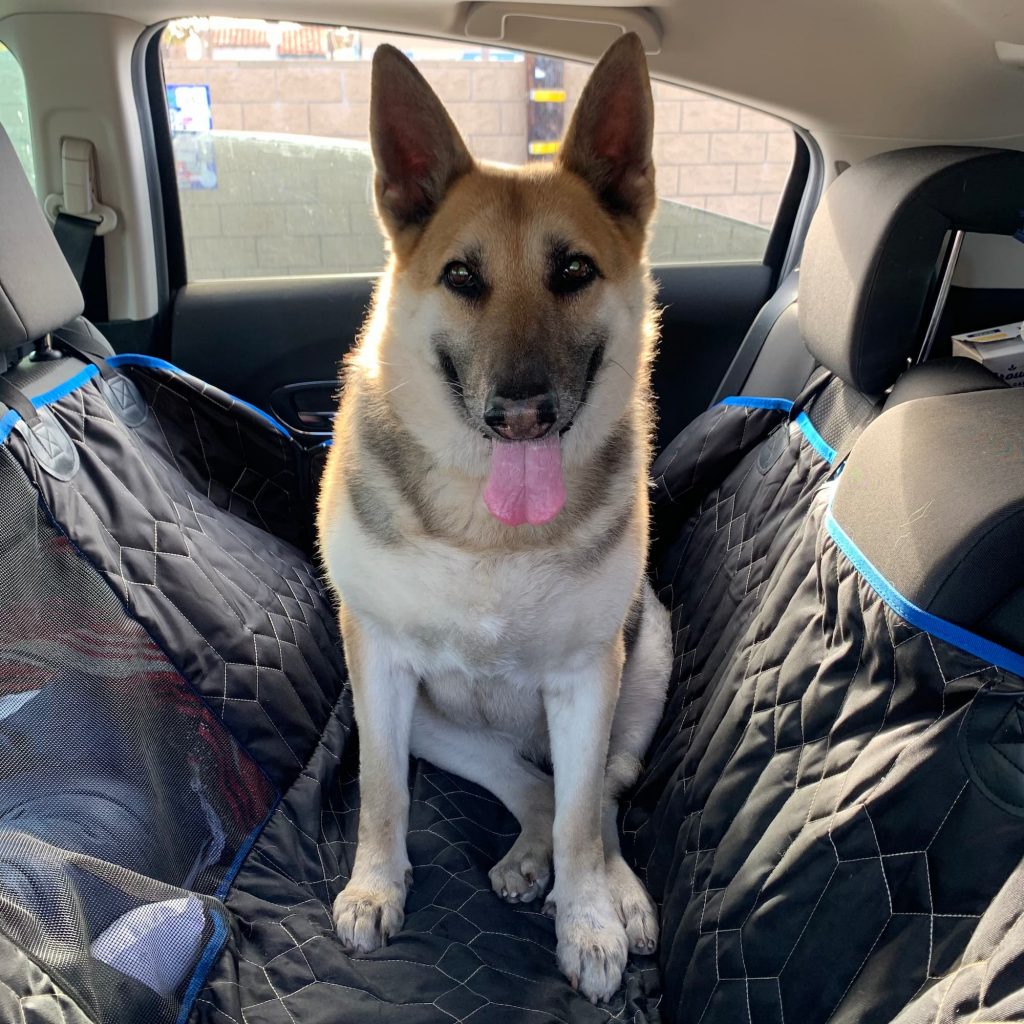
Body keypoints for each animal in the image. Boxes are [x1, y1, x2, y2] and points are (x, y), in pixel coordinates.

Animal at [317, 34, 671, 1007]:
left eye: (574, 272)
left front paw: (591, 919)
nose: (521, 415)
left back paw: (613, 892)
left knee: (596, 796)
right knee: (531, 787)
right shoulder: (378, 665)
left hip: (643, 662)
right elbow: (382, 793)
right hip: (426, 719)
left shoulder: (589, 677)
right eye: (462, 277)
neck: (487, 528)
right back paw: (524, 856)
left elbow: (587, 820)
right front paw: (377, 886)